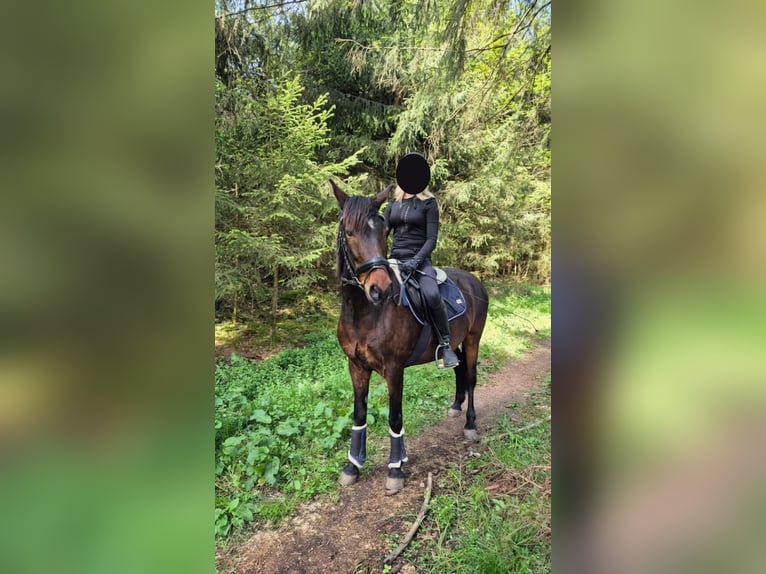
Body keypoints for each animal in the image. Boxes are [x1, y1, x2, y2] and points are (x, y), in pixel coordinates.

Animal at [330, 180, 489, 493]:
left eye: (383, 232)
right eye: (349, 232)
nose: (380, 289)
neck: (366, 314)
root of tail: (474, 281)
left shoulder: (394, 369)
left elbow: (395, 416)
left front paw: (395, 469)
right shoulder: (356, 366)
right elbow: (359, 414)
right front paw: (353, 466)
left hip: (473, 339)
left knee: (471, 377)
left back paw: (470, 425)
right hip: (454, 341)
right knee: (458, 368)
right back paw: (455, 406)